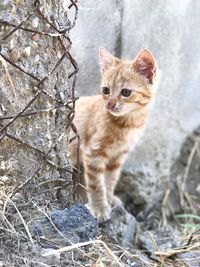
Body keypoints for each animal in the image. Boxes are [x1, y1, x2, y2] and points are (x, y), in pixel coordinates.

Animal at [69, 48, 160, 224]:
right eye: (106, 90)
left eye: (126, 92)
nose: (109, 104)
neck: (129, 124)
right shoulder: (93, 153)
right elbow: (96, 183)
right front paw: (99, 208)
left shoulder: (118, 156)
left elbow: (110, 180)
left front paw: (109, 198)